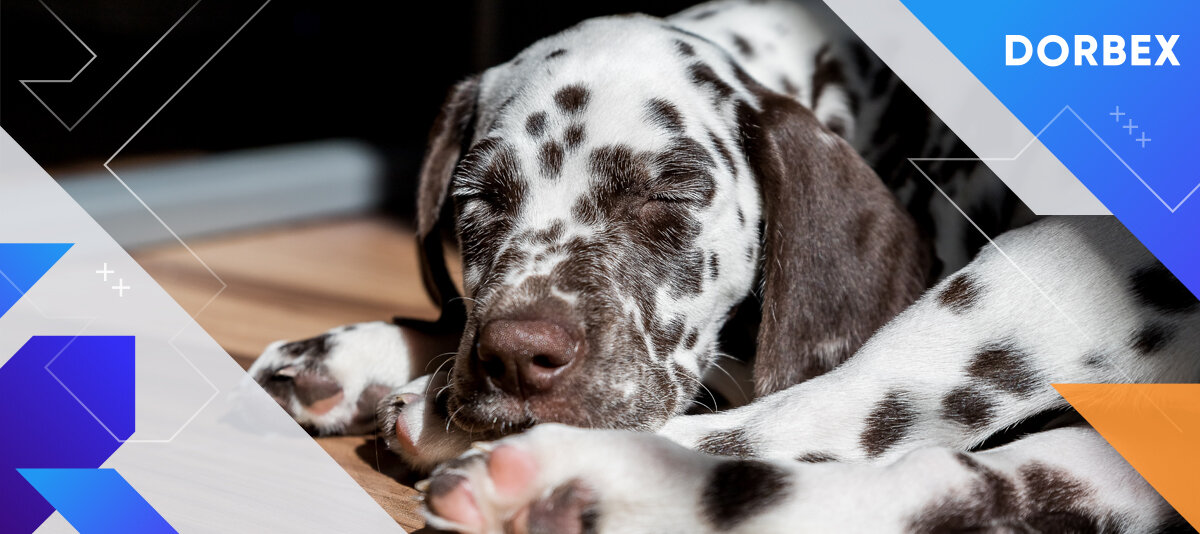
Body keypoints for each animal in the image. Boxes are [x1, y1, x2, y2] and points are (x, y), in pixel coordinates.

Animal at [243, 0, 1190, 530]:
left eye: (668, 195)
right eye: (477, 200)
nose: (515, 357)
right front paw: (361, 353)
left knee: (830, 416)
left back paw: (540, 459)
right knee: (947, 480)